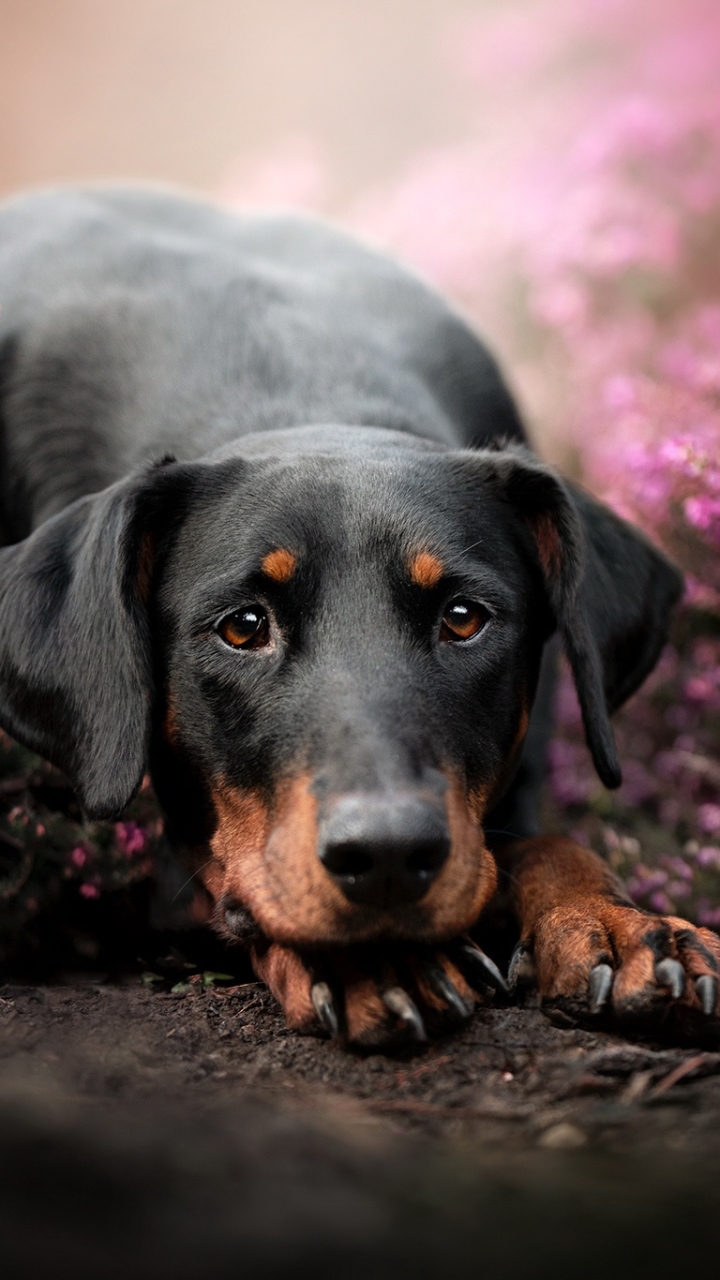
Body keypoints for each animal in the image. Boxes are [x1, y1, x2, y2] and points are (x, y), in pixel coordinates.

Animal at [0, 186, 712, 1049]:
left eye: (464, 617)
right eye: (242, 626)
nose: (387, 858)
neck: (300, 376)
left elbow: (546, 845)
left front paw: (619, 923)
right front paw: (378, 959)